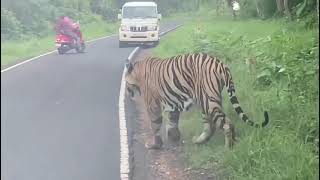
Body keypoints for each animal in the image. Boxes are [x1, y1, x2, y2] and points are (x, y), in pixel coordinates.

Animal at [124, 52, 268, 150]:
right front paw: (174, 137)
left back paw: (228, 147)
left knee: (225, 124)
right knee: (212, 126)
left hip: (208, 102)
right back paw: (202, 141)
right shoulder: (173, 103)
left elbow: (155, 125)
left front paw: (155, 144)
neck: (138, 72)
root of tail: (221, 64)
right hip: (205, 101)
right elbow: (172, 121)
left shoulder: (152, 105)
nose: (127, 92)